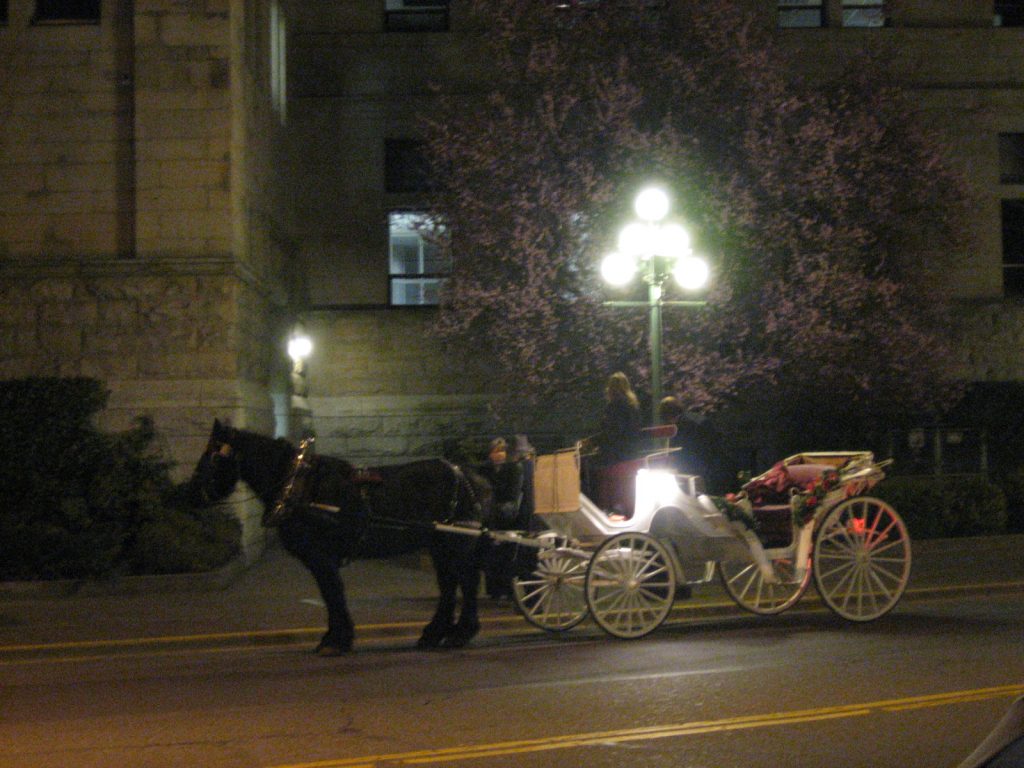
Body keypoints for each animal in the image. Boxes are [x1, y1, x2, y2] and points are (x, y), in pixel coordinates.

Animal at [191, 421, 499, 655]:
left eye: (214, 456)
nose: (192, 492)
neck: (298, 485)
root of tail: (473, 477)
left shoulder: (320, 557)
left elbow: (333, 594)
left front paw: (335, 640)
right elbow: (332, 595)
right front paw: (337, 637)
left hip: (458, 543)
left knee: (467, 581)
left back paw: (461, 633)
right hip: (440, 545)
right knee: (449, 585)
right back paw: (434, 633)